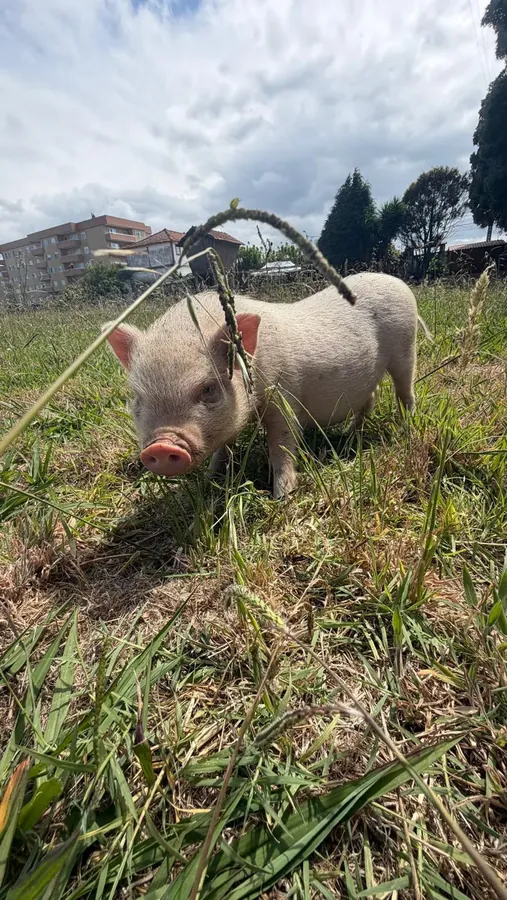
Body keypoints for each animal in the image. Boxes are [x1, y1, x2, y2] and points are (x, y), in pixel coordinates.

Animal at [104, 272, 430, 498]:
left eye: (208, 389)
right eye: (137, 398)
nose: (161, 446)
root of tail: (397, 281)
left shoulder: (283, 395)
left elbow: (281, 442)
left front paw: (281, 496)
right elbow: (224, 445)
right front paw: (210, 479)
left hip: (405, 348)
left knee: (405, 391)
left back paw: (406, 427)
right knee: (370, 396)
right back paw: (351, 435)